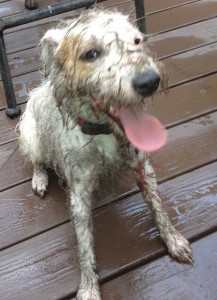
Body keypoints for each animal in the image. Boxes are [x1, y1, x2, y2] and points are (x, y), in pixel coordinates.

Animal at [19, 9, 193, 300]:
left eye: (137, 41)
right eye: (90, 54)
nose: (149, 81)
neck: (104, 134)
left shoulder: (142, 168)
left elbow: (159, 210)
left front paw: (174, 240)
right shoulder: (79, 195)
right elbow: (85, 246)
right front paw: (89, 288)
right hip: (30, 136)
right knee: (37, 162)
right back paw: (40, 179)